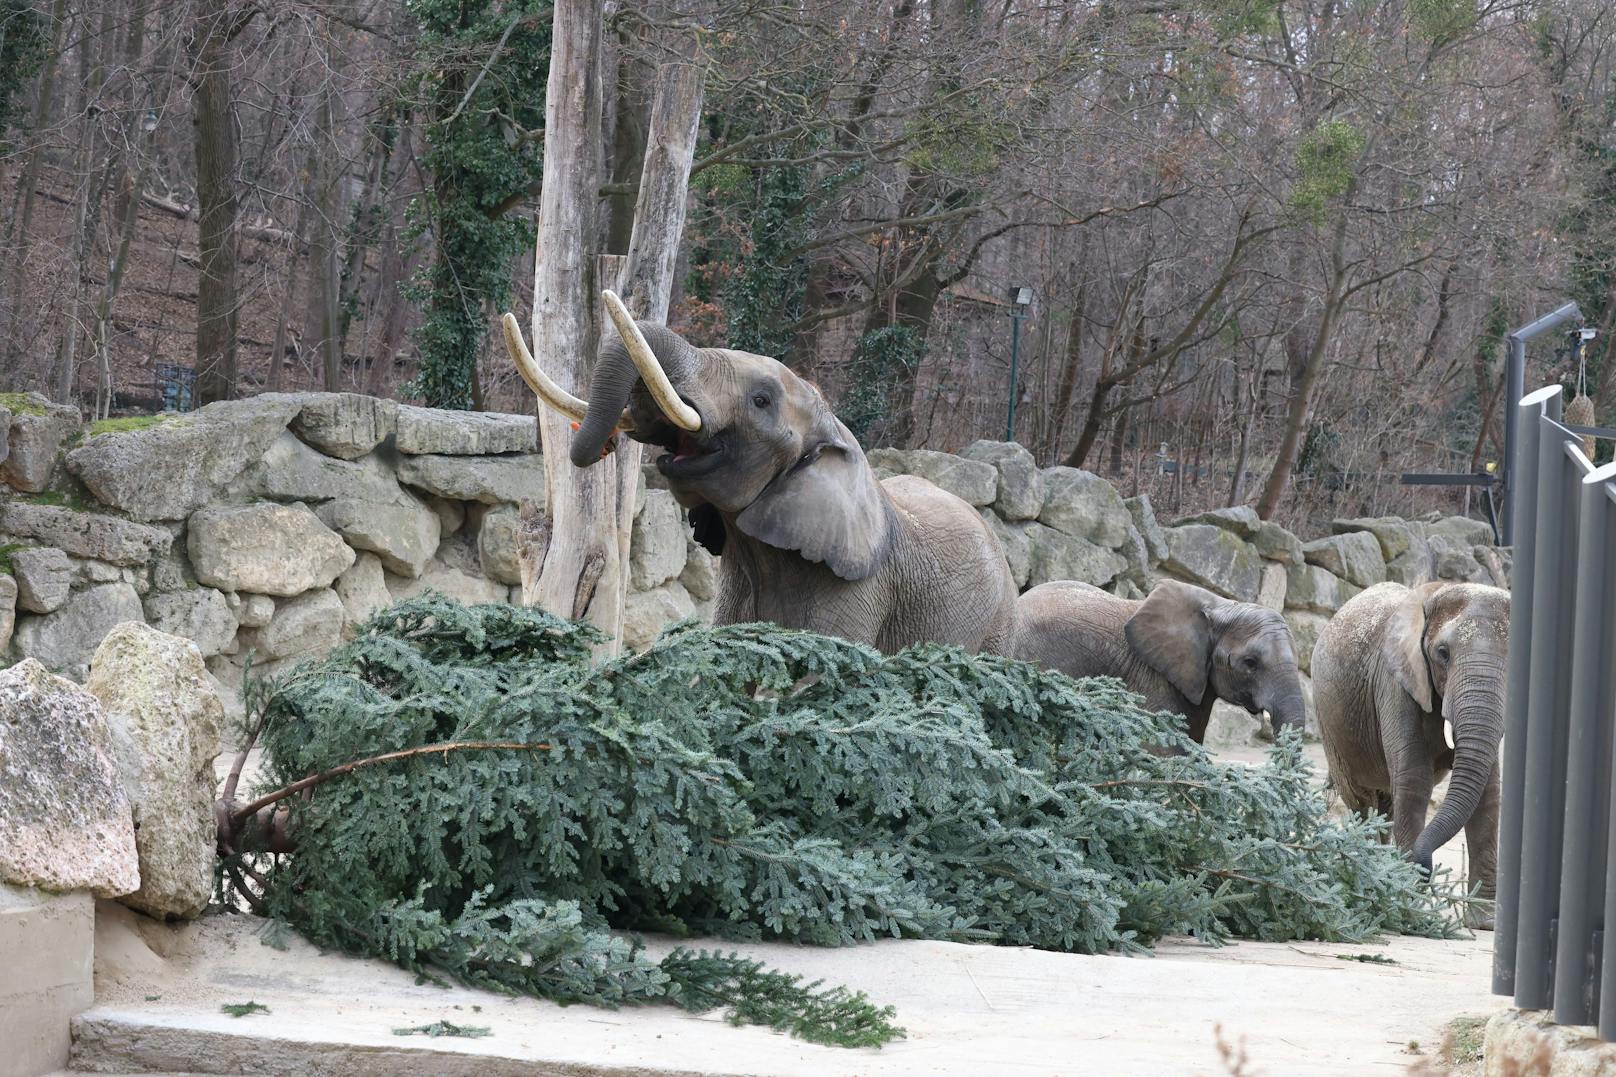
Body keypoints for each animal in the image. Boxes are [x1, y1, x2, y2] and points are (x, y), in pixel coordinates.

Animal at [1305, 578, 1506, 924]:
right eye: (1442, 654)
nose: (1426, 869)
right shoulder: (1395, 682)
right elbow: (1414, 780)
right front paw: (1408, 908)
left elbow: (1488, 793)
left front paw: (1485, 922)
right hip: (1329, 723)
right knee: (1361, 802)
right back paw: (1364, 871)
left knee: (1384, 805)